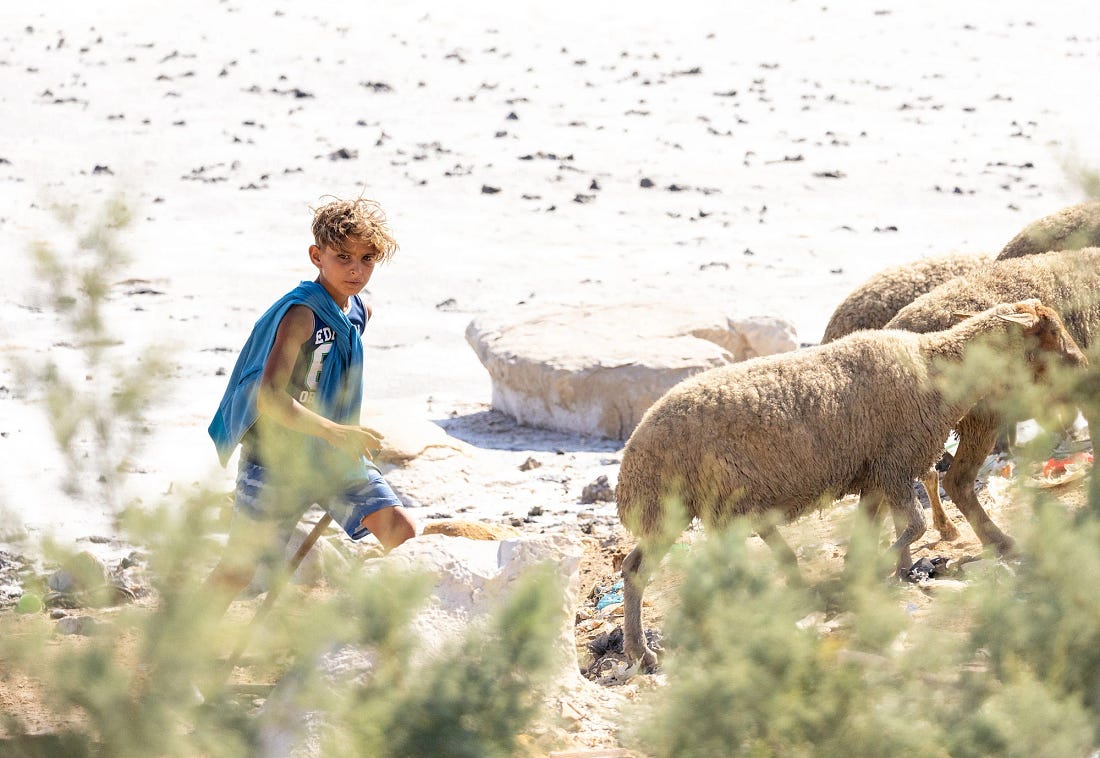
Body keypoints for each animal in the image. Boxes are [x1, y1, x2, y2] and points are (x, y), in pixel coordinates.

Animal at [617, 300, 1087, 669]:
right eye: (1051, 332)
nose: (1084, 364)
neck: (936, 364)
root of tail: (631, 461)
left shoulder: (877, 474)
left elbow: (875, 534)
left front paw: (880, 573)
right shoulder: (895, 464)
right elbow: (914, 526)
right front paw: (879, 571)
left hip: (685, 511)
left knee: (636, 567)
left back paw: (643, 649)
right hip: (704, 506)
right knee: (669, 569)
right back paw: (655, 646)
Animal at [883, 247, 1100, 552]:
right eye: (1054, 333)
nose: (1083, 366)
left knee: (920, 478)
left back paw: (944, 530)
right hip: (980, 419)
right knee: (957, 481)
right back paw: (998, 540)